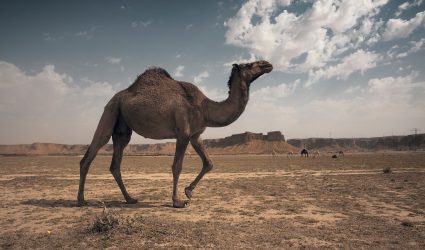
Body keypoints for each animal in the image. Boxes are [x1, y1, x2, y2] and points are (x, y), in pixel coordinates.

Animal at [78, 60, 274, 207]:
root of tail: (116, 97)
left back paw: (130, 199)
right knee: (92, 151)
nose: (268, 64)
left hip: (122, 126)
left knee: (116, 163)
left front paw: (188, 191)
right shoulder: (183, 134)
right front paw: (177, 201)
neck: (205, 108)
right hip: (110, 110)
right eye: (249, 64)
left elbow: (209, 163)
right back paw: (81, 200)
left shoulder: (195, 135)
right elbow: (177, 167)